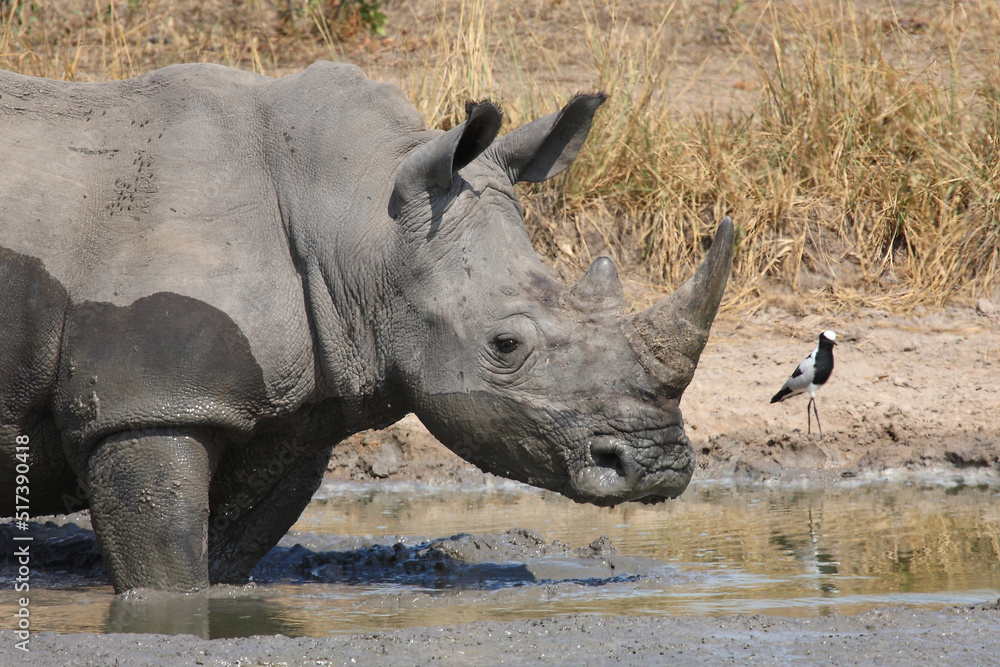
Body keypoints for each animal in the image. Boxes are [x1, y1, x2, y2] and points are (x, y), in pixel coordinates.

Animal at [0, 62, 733, 594]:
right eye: (505, 346)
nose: (658, 465)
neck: (356, 220)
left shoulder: (295, 411)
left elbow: (226, 548)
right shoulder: (144, 406)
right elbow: (165, 569)